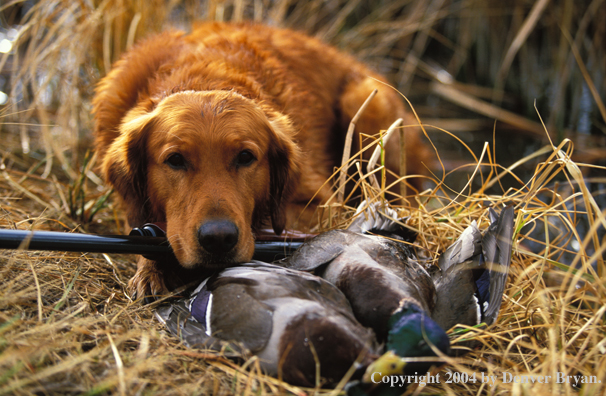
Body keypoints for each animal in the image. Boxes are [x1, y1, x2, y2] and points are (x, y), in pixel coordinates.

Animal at [92, 22, 430, 300]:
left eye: (246, 157)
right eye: (175, 160)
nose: (218, 239)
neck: (207, 75)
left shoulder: (317, 203)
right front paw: (150, 270)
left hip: (364, 102)